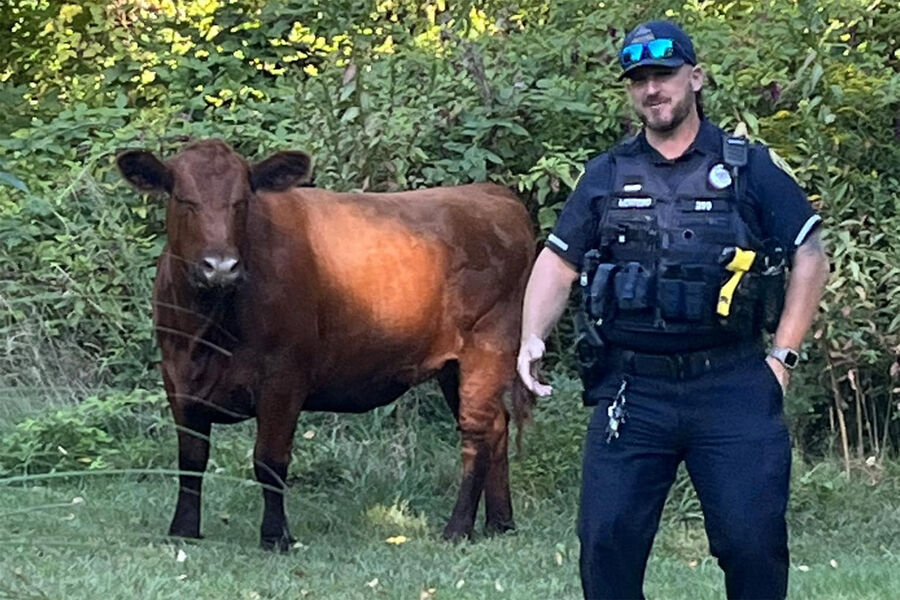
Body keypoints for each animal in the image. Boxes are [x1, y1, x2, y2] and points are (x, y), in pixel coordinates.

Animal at [115, 139, 532, 548]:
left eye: (242, 201)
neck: (209, 331)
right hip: (452, 366)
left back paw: (458, 528)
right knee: (497, 425)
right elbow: (191, 459)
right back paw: (501, 522)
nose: (220, 266)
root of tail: (492, 194)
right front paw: (183, 529)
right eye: (184, 199)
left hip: (488, 345)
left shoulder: (283, 377)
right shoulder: (177, 376)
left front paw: (276, 536)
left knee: (476, 434)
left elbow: (269, 460)